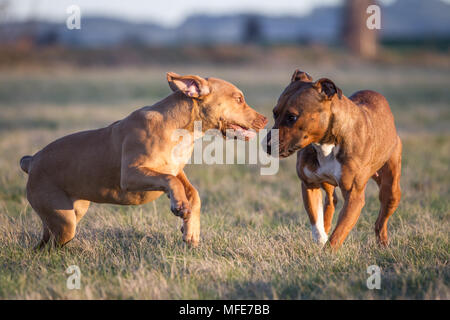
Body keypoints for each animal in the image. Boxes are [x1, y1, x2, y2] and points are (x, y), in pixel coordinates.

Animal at [20, 72, 268, 248]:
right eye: (239, 99)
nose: (265, 119)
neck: (181, 129)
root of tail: (32, 161)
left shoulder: (177, 170)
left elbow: (192, 192)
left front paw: (191, 231)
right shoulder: (131, 174)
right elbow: (170, 181)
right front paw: (179, 206)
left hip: (69, 212)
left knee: (44, 242)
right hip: (64, 220)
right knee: (50, 246)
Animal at [264, 69, 400, 250]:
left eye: (292, 117)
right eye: (275, 112)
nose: (266, 145)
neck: (327, 143)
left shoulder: (354, 196)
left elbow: (339, 232)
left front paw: (327, 251)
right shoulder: (309, 184)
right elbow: (315, 218)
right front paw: (321, 239)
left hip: (391, 188)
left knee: (381, 219)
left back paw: (383, 242)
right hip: (328, 185)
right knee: (330, 201)